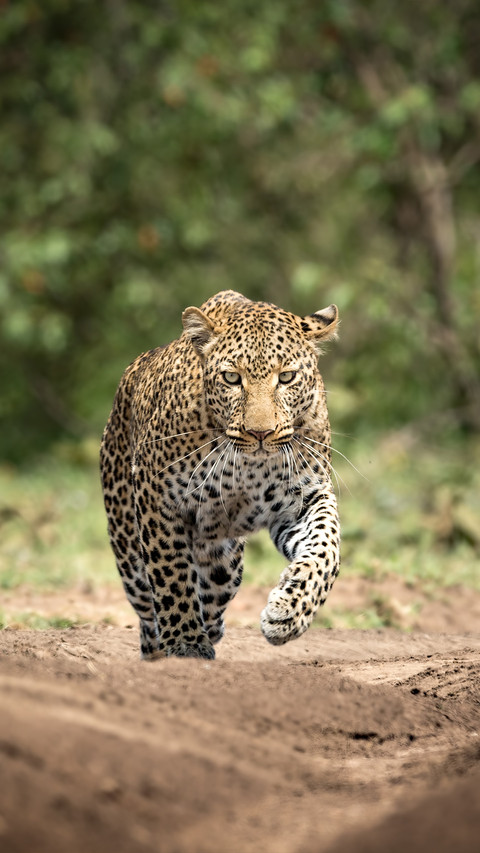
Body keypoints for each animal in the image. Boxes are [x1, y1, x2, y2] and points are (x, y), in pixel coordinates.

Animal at [100, 290, 340, 660]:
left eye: (286, 378)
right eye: (231, 379)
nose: (260, 433)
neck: (249, 466)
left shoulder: (304, 498)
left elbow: (327, 547)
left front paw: (289, 611)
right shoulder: (158, 498)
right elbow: (171, 574)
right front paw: (184, 642)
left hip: (223, 569)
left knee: (212, 607)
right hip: (130, 553)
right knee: (148, 611)